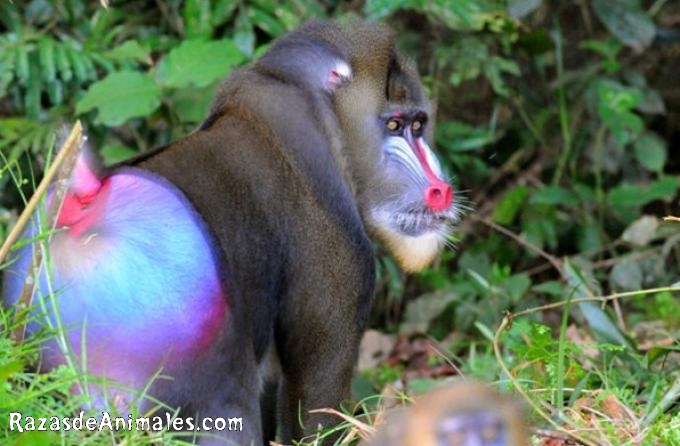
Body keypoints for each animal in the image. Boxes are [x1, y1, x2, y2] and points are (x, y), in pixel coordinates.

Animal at [3, 21, 458, 445]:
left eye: (419, 124)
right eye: (395, 125)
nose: (441, 190)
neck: (322, 118)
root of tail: (87, 198)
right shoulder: (338, 257)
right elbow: (317, 397)